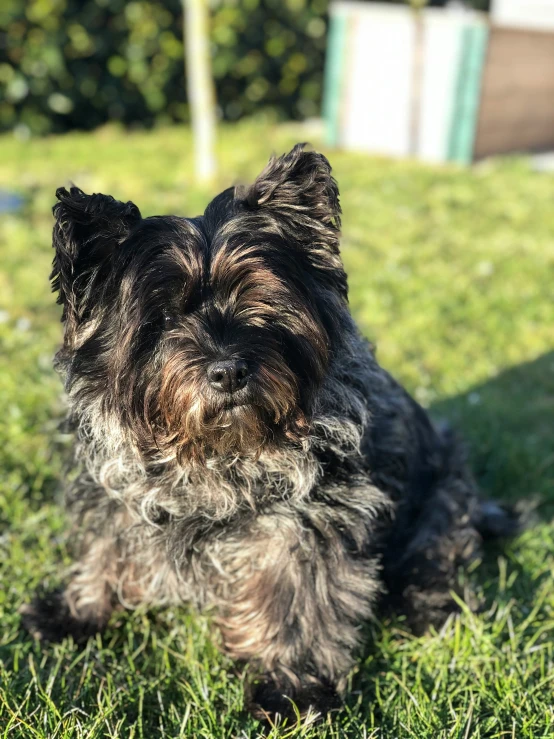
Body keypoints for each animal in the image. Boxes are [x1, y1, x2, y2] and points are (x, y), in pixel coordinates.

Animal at [19, 145, 516, 724]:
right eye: (160, 317)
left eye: (260, 302)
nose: (228, 372)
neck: (212, 455)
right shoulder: (113, 494)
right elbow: (104, 548)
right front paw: (78, 610)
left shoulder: (306, 526)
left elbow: (297, 606)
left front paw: (289, 688)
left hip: (444, 500)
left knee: (439, 560)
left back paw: (424, 608)